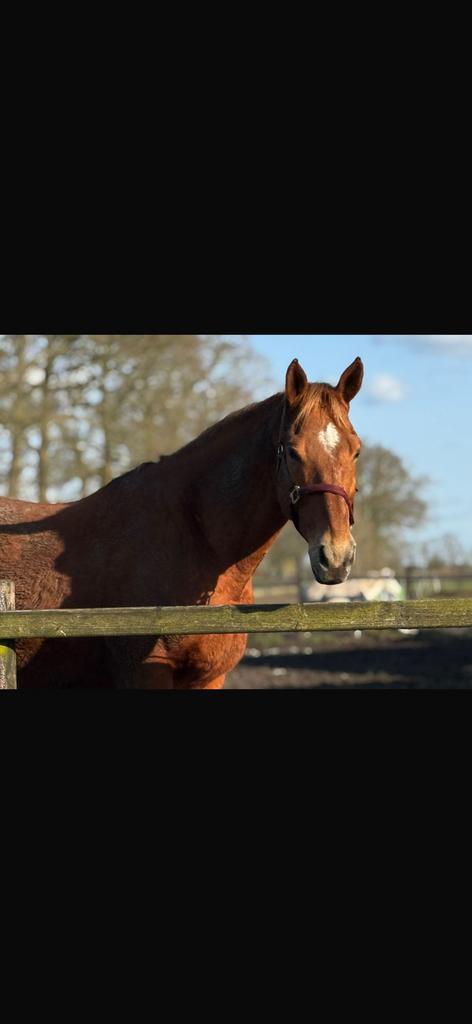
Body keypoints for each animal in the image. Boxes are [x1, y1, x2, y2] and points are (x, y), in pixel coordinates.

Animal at [0, 356, 364, 689]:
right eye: (291, 451)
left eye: (356, 451)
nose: (336, 557)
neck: (196, 541)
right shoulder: (145, 675)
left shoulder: (210, 677)